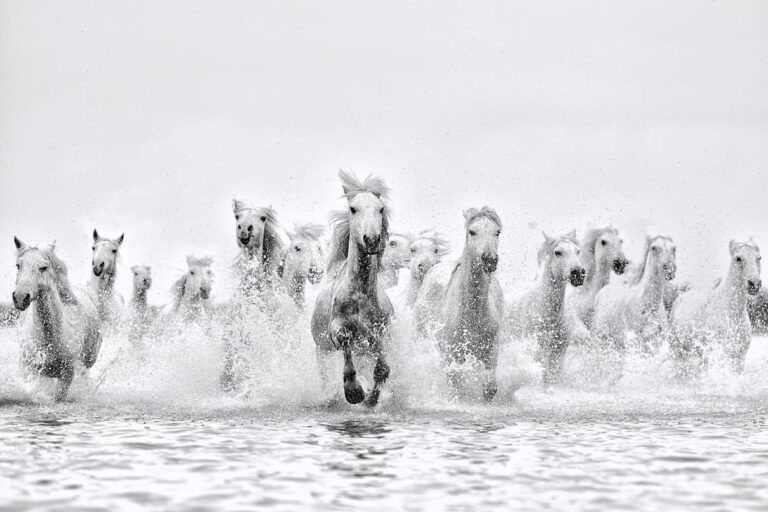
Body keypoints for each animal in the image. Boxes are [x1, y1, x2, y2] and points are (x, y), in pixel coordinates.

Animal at [11, 237, 102, 401]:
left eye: (43, 267)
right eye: (18, 265)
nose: (20, 297)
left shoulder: (67, 375)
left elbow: (59, 397)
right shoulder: (30, 370)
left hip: (88, 361)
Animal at [311, 170, 394, 407]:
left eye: (380, 208)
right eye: (353, 209)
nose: (372, 239)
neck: (361, 295)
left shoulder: (379, 336)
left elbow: (382, 369)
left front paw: (371, 399)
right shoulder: (337, 332)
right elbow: (346, 348)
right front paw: (354, 392)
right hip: (322, 349)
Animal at [414, 206, 504, 401]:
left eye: (497, 232)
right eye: (472, 231)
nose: (490, 259)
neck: (472, 313)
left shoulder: (491, 350)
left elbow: (490, 387)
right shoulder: (451, 355)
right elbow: (456, 383)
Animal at [671, 240, 761, 374]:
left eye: (759, 258)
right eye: (738, 258)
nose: (754, 284)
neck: (733, 316)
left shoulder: (739, 359)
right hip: (677, 350)